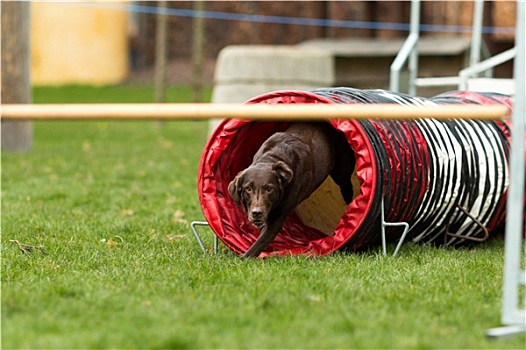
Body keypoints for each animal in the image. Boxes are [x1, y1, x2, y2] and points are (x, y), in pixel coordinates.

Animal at [230, 122, 356, 258]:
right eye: (248, 188)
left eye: (269, 188)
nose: (257, 213)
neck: (274, 156)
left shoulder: (277, 220)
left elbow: (257, 245)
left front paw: (243, 258)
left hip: (341, 171)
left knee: (346, 183)